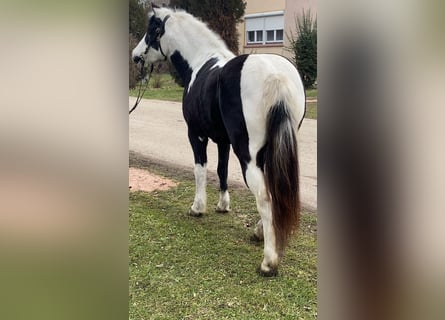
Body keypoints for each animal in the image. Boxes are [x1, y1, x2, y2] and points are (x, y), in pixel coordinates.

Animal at [132, 5, 306, 276]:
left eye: (152, 31)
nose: (136, 57)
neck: (200, 62)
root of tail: (275, 76)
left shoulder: (196, 135)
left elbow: (201, 169)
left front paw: (197, 208)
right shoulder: (223, 141)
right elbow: (221, 169)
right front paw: (223, 205)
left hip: (248, 155)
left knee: (264, 195)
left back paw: (268, 262)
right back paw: (259, 233)